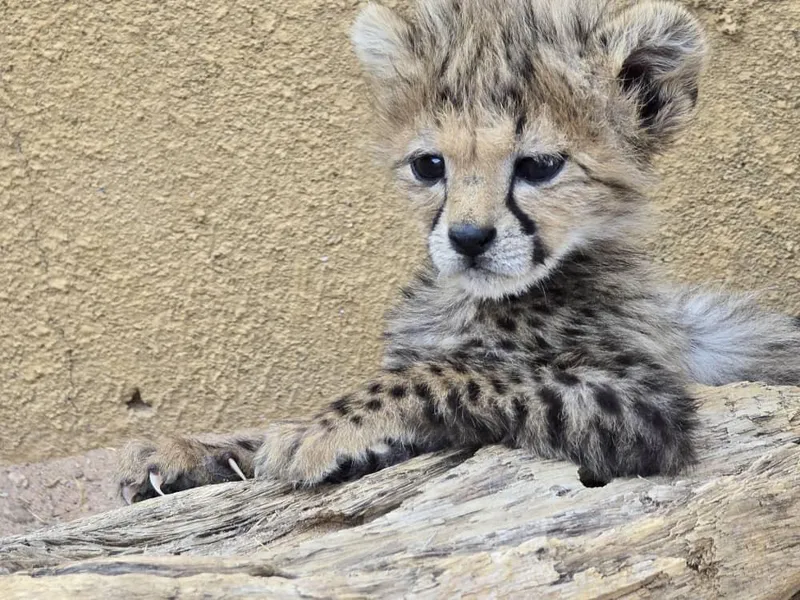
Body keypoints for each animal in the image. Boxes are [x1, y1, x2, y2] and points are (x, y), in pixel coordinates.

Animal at [117, 0, 800, 503]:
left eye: (539, 166)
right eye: (429, 165)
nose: (468, 239)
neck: (473, 298)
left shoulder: (640, 403)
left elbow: (454, 371)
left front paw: (322, 430)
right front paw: (193, 451)